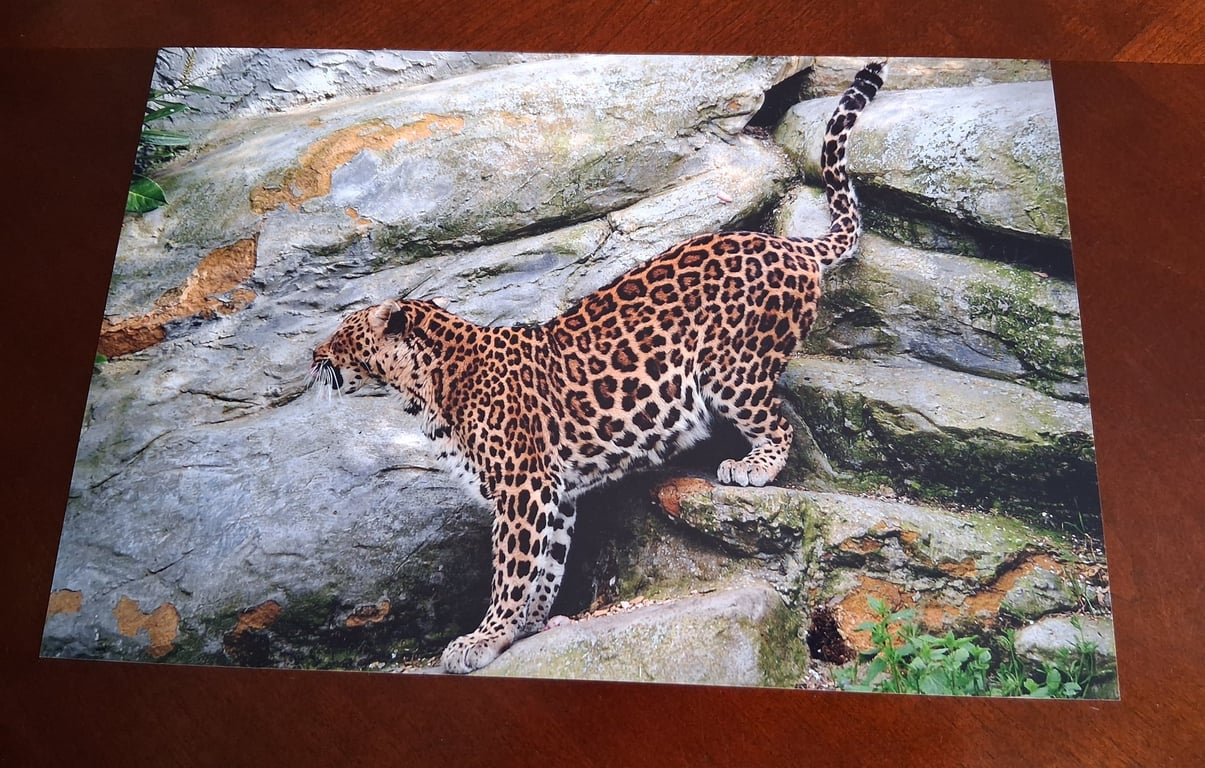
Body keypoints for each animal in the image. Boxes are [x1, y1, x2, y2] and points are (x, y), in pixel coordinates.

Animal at [310, 62, 885, 673]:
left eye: (342, 333)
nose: (313, 356)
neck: (427, 385)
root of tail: (793, 247)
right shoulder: (553, 492)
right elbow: (544, 567)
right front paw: (525, 626)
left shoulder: (523, 486)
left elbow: (510, 570)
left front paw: (483, 638)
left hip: (732, 370)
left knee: (778, 424)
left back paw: (752, 466)